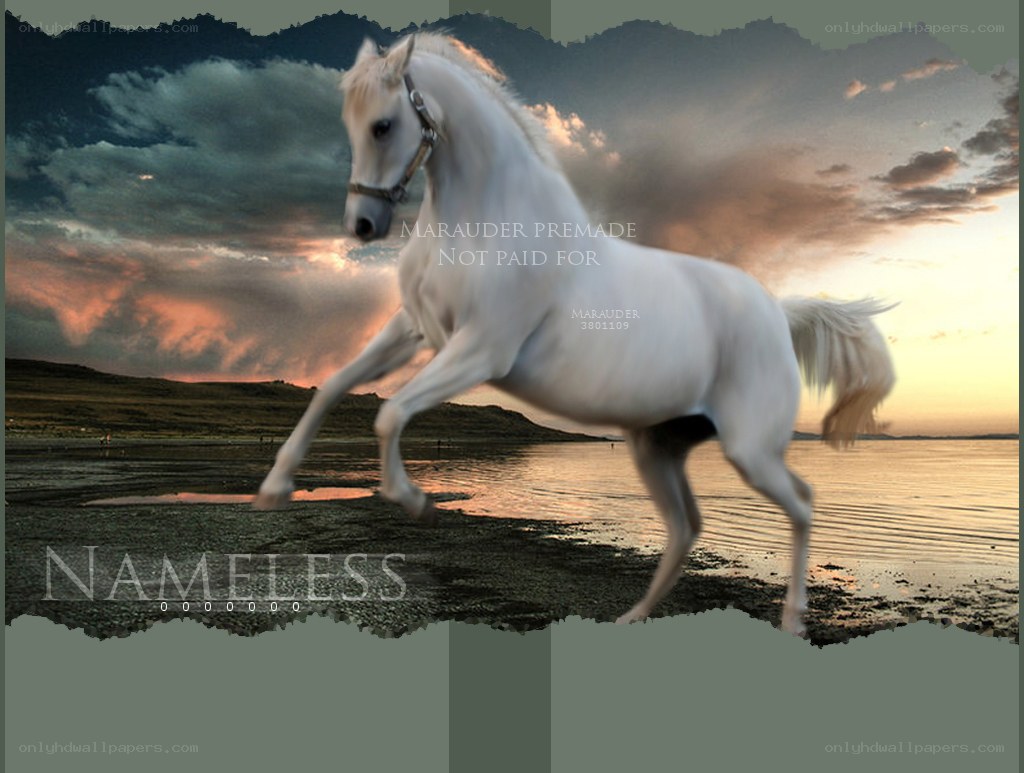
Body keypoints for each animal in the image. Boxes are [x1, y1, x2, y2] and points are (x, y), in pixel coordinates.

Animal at [254, 33, 896, 636]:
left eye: (383, 125)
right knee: (687, 528)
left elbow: (390, 414)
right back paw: (633, 618)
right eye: (350, 125)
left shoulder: (480, 350)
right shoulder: (414, 330)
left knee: (802, 505)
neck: (487, 219)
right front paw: (276, 487)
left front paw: (414, 501)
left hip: (750, 449)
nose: (362, 225)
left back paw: (792, 620)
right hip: (658, 447)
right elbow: (334, 386)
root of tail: (777, 313)